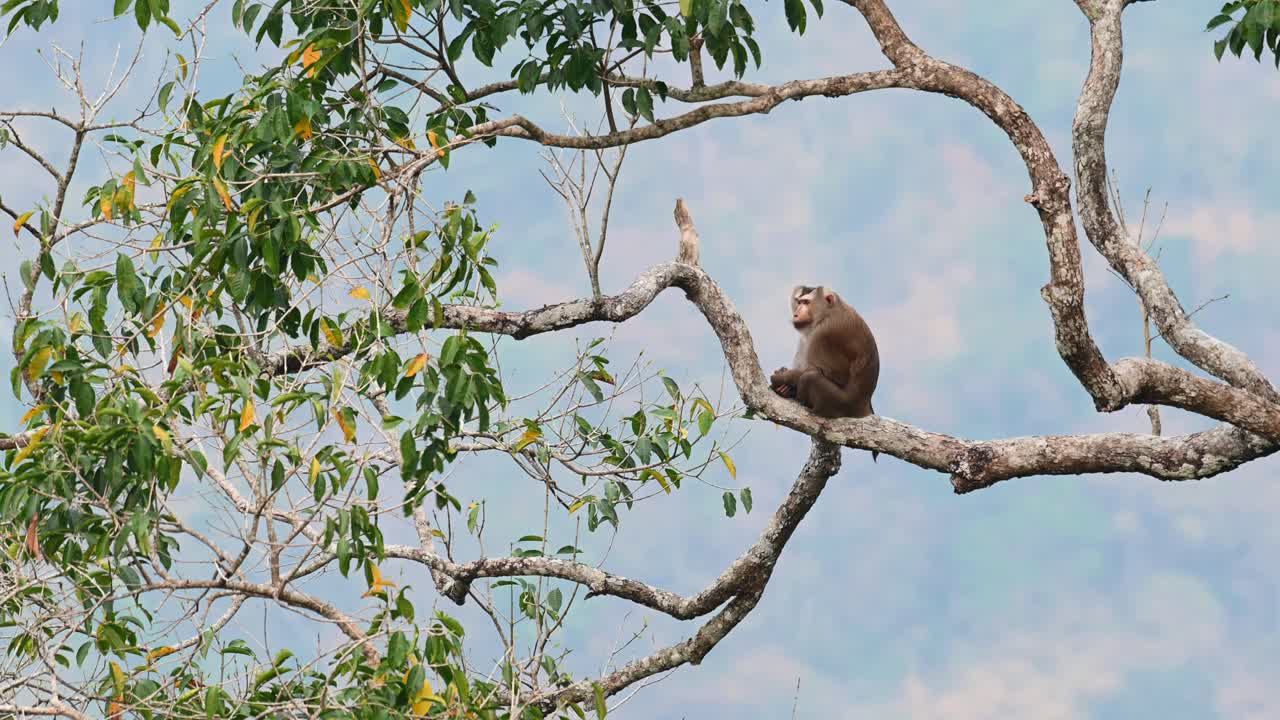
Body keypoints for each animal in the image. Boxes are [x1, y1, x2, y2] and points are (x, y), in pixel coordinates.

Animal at [770, 285, 880, 460]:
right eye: (799, 302)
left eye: (806, 302)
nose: (796, 314)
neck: (830, 310)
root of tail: (864, 409)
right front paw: (784, 382)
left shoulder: (824, 334)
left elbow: (831, 374)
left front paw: (781, 379)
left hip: (841, 404)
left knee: (811, 377)